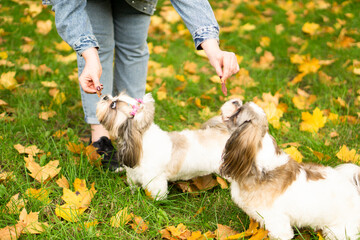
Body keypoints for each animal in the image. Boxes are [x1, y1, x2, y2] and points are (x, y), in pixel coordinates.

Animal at [96, 93, 242, 200]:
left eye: (113, 105)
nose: (105, 96)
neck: (141, 139)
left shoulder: (154, 180)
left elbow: (157, 194)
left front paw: (154, 203)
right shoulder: (133, 174)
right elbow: (133, 185)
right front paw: (133, 193)